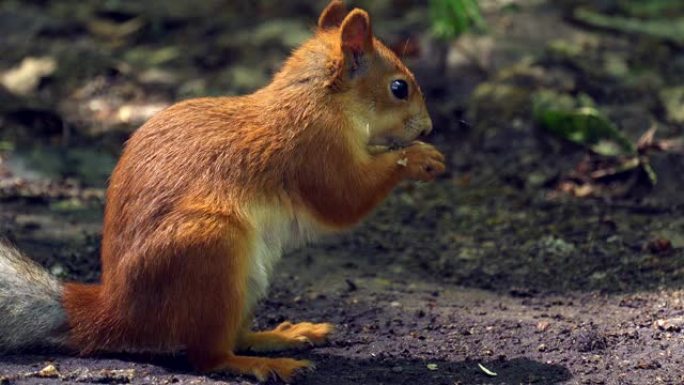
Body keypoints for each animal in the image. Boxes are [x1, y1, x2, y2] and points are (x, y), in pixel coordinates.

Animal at [0, 1, 446, 380]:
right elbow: (344, 198)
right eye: (399, 88)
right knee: (208, 356)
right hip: (212, 249)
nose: (427, 127)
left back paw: (279, 336)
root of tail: (117, 313)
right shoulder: (316, 148)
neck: (319, 99)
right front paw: (418, 158)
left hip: (247, 279)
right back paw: (261, 364)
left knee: (233, 336)